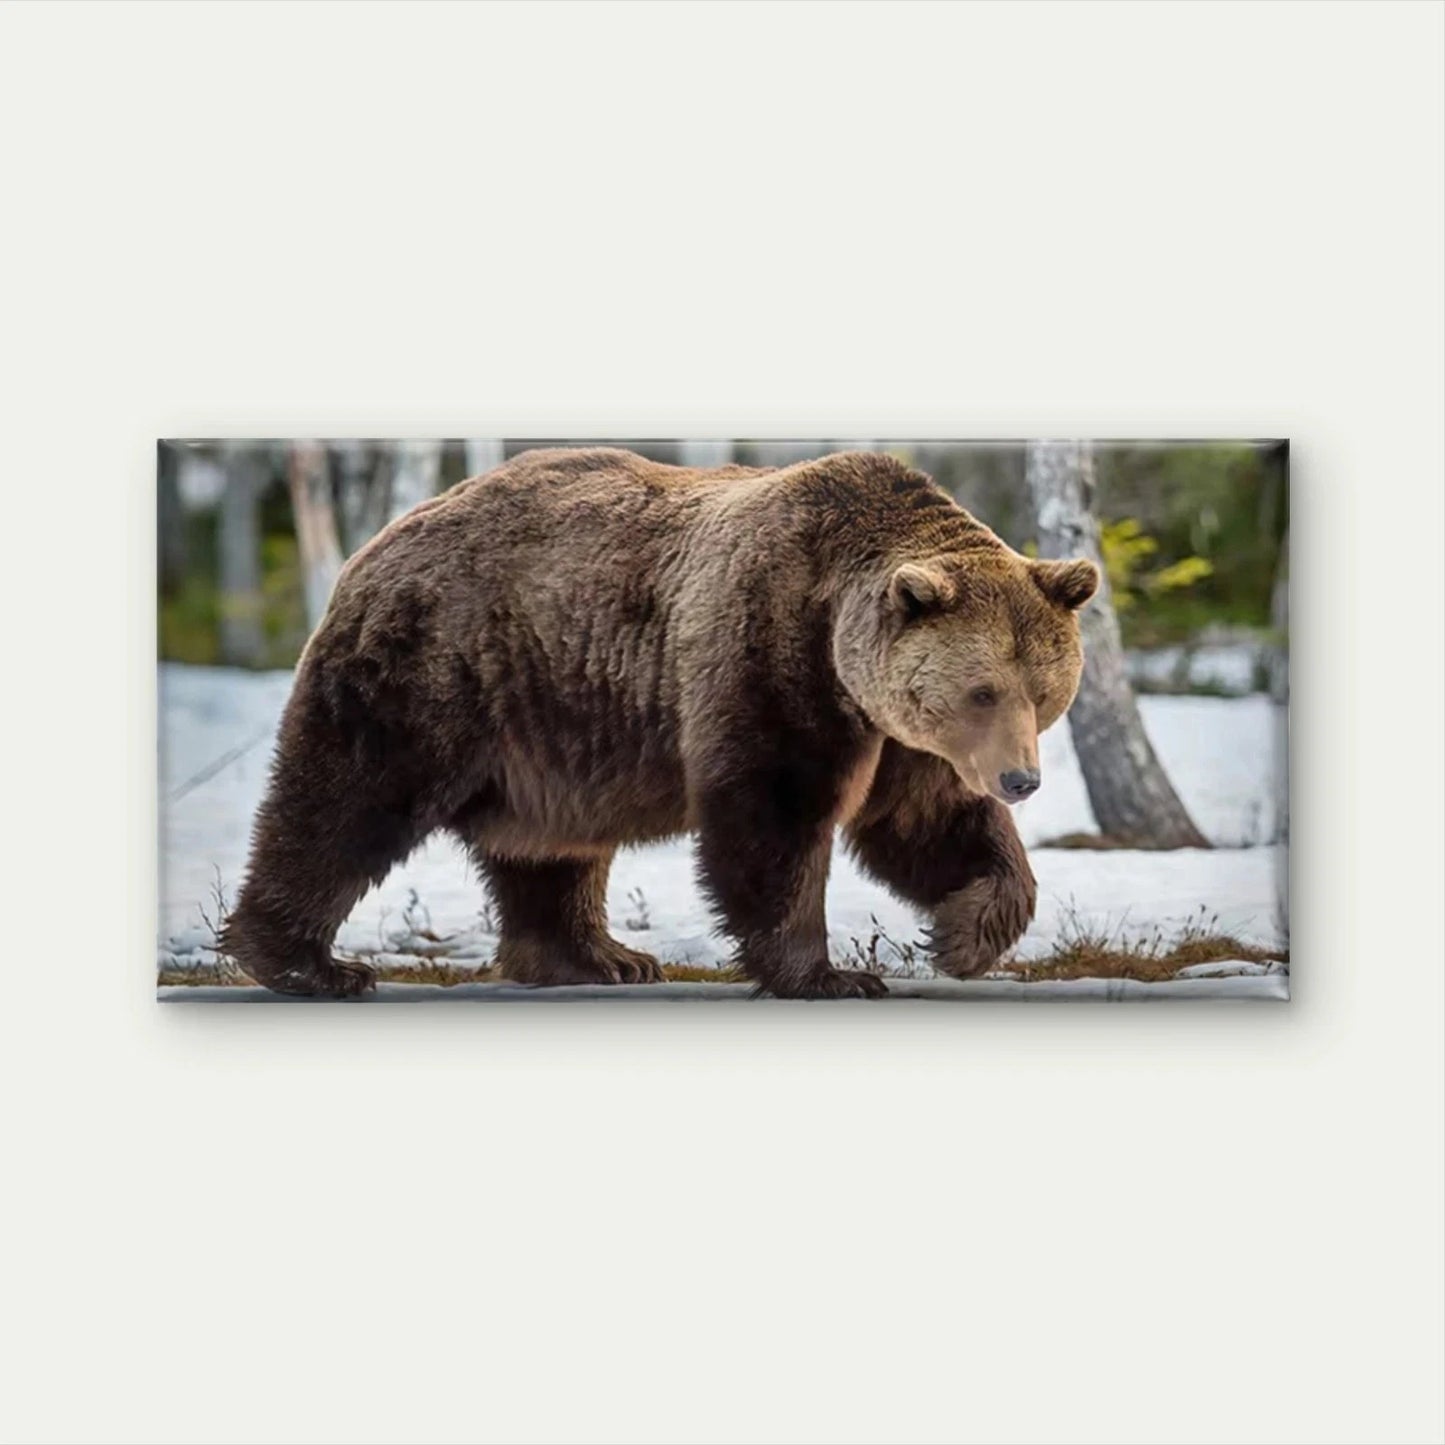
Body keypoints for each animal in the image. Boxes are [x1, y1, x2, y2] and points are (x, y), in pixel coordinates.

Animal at [220, 447, 1099, 1000]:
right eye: (981, 690)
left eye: (1043, 689)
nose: (1021, 778)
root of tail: (379, 540)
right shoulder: (768, 654)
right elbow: (773, 817)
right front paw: (828, 973)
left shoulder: (898, 735)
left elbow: (930, 825)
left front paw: (960, 935)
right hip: (434, 670)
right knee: (346, 801)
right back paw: (306, 962)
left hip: (549, 727)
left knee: (549, 850)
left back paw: (599, 956)